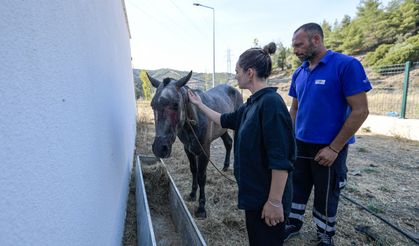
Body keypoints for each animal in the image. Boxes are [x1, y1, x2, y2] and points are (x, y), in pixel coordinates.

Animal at [148, 70, 244, 217]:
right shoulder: (188, 149)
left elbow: (201, 176)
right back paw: (225, 166)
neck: (194, 120)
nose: (159, 148)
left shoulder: (204, 151)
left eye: (176, 104)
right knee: (228, 143)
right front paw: (192, 194)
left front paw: (201, 207)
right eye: (152, 105)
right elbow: (193, 170)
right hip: (222, 129)